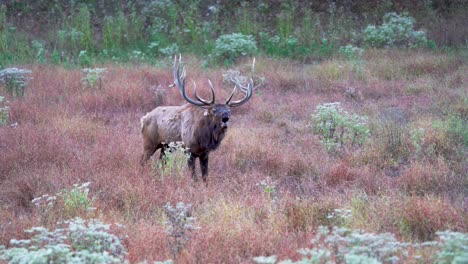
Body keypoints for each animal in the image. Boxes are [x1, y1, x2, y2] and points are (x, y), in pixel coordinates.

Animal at [141, 55, 254, 184]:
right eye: (213, 110)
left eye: (229, 110)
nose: (225, 117)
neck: (203, 138)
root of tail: (143, 118)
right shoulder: (189, 150)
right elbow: (193, 177)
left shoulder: (205, 153)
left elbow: (205, 176)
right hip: (149, 142)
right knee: (143, 161)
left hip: (166, 146)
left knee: (161, 163)